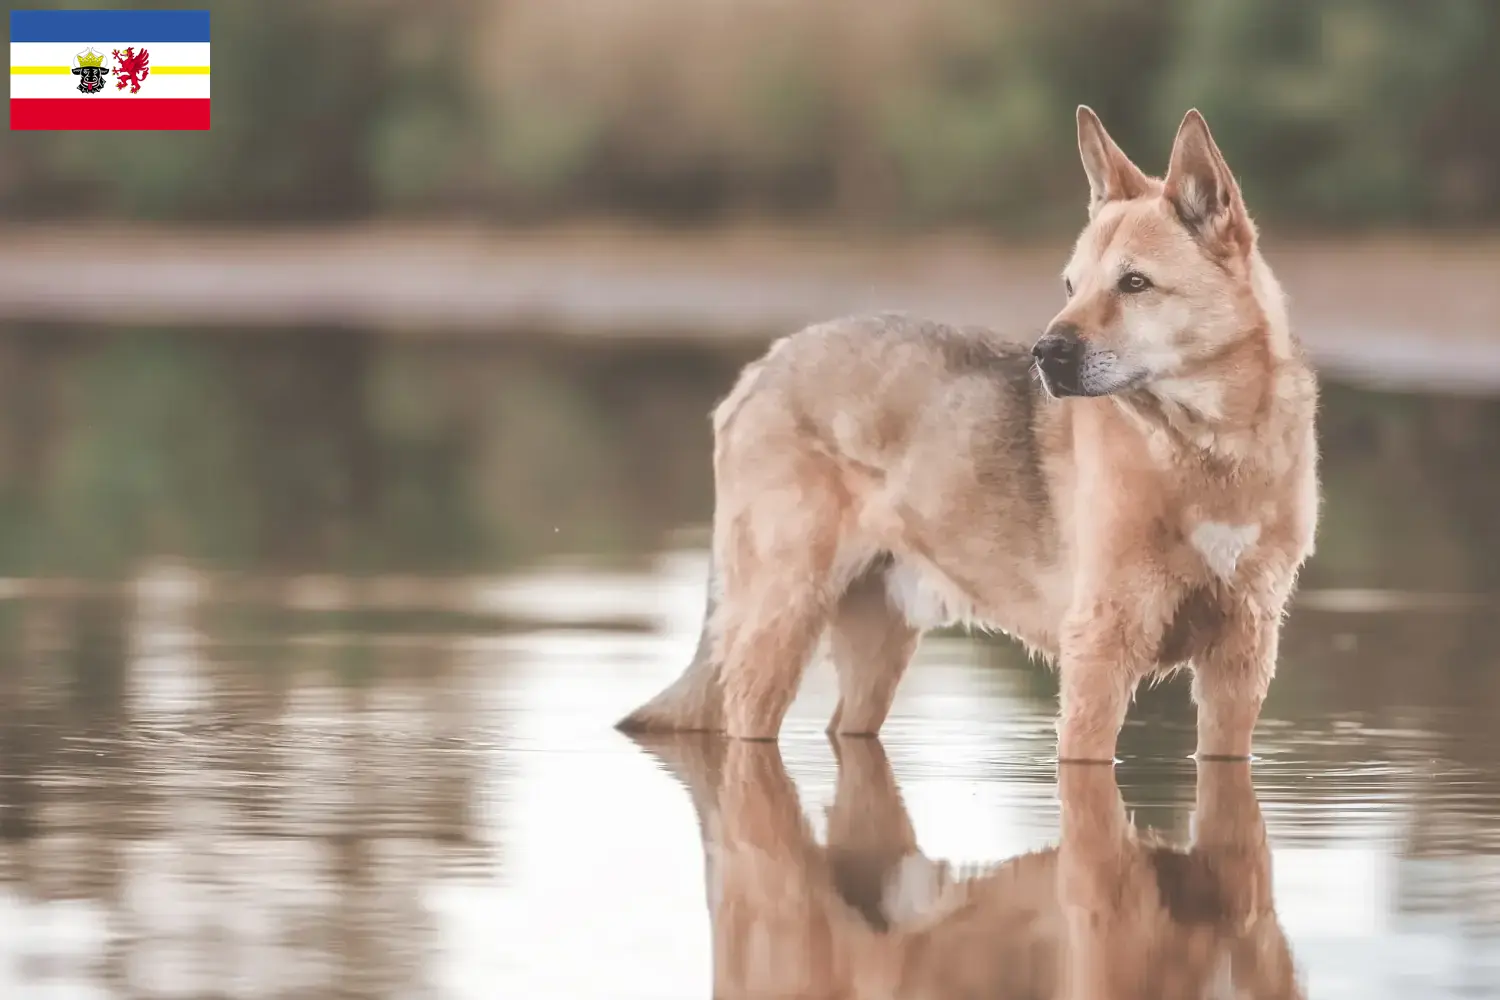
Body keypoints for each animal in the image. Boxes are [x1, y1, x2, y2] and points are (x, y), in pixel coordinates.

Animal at [615, 105, 1320, 758]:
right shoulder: (1100, 653)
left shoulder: (1240, 661)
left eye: (1135, 283)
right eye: (1070, 284)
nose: (1044, 354)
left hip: (874, 652)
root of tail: (761, 367)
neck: (1209, 452)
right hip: (778, 627)